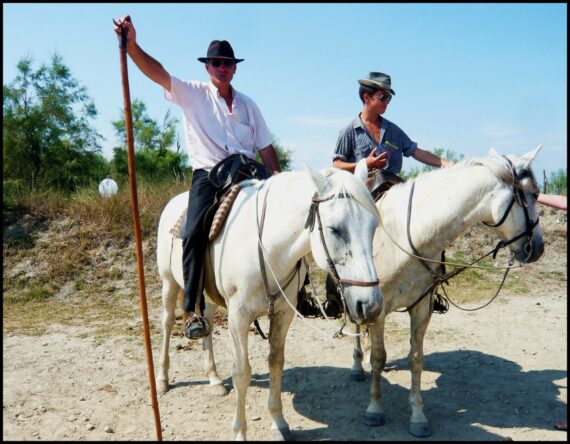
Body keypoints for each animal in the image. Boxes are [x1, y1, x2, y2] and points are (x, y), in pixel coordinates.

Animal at [155, 160, 384, 440]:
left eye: (373, 227)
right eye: (335, 229)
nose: (371, 305)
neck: (266, 248)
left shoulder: (284, 313)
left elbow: (276, 362)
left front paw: (279, 422)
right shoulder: (238, 317)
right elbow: (241, 372)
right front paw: (240, 432)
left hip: (206, 296)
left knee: (206, 323)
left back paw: (214, 380)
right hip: (169, 282)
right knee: (167, 323)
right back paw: (162, 380)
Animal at [348, 147, 544, 438]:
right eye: (535, 194)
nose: (538, 248)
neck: (405, 235)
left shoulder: (421, 307)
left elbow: (416, 359)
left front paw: (418, 416)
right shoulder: (378, 309)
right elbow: (378, 358)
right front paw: (374, 409)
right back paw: (356, 365)